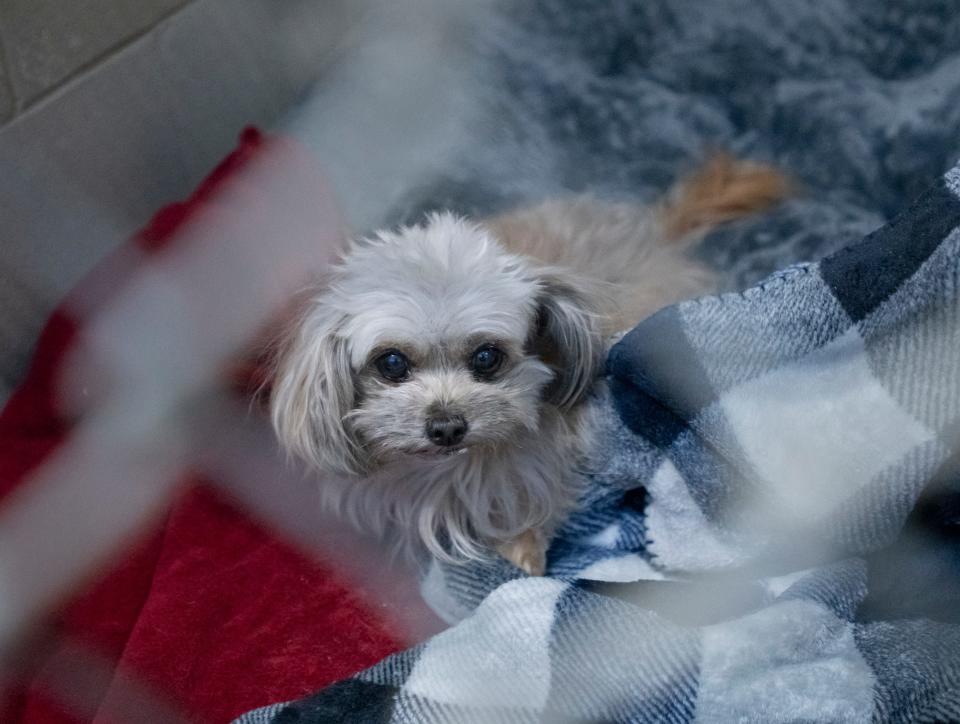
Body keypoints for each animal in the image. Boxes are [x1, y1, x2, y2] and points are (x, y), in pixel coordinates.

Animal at [268, 156, 788, 576]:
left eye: (487, 357)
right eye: (391, 363)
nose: (446, 427)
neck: (453, 470)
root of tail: (652, 232)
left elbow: (527, 510)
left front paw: (524, 559)